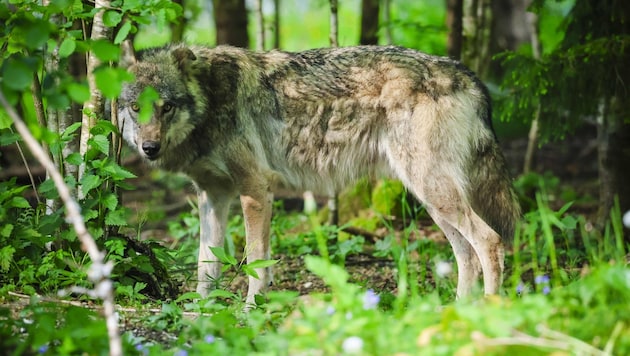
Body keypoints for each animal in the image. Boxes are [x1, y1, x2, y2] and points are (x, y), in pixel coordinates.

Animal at [118, 44, 524, 306]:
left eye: (166, 107)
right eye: (136, 108)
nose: (149, 148)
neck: (209, 98)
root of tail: (468, 74)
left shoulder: (255, 189)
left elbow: (255, 262)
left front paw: (250, 313)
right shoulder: (212, 196)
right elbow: (207, 263)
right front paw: (200, 313)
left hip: (433, 191)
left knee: (489, 241)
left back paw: (489, 316)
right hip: (433, 200)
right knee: (466, 254)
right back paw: (456, 316)